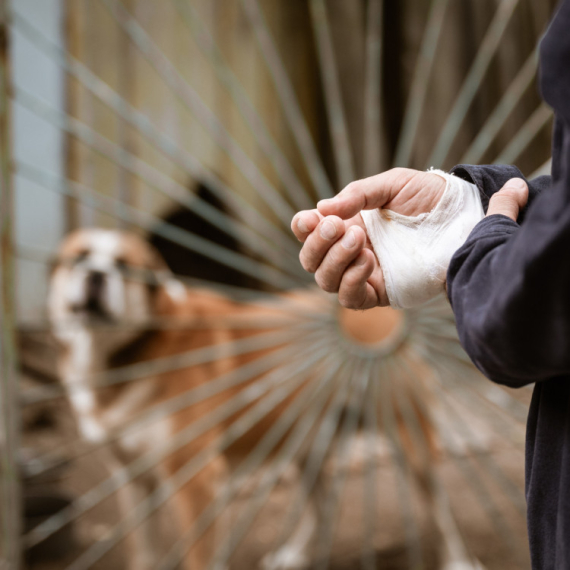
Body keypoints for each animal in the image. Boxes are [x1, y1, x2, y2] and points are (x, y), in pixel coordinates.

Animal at [48, 229, 482, 568]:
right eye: (79, 257)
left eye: (124, 266)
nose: (96, 275)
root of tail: (375, 306)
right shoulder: (132, 478)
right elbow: (142, 553)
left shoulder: (196, 480)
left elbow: (199, 557)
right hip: (305, 442)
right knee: (324, 502)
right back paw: (296, 554)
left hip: (412, 440)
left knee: (440, 509)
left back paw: (458, 561)